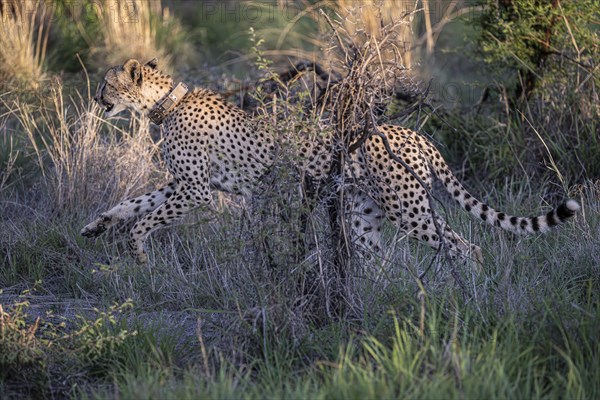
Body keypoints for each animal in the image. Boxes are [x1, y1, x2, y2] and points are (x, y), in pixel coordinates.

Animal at [81, 59, 580, 264]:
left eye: (106, 83)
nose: (96, 97)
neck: (163, 104)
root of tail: (411, 132)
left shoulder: (197, 190)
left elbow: (148, 219)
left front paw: (139, 252)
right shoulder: (182, 184)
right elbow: (135, 202)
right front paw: (97, 225)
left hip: (410, 210)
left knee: (464, 245)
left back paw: (467, 291)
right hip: (363, 217)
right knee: (377, 258)